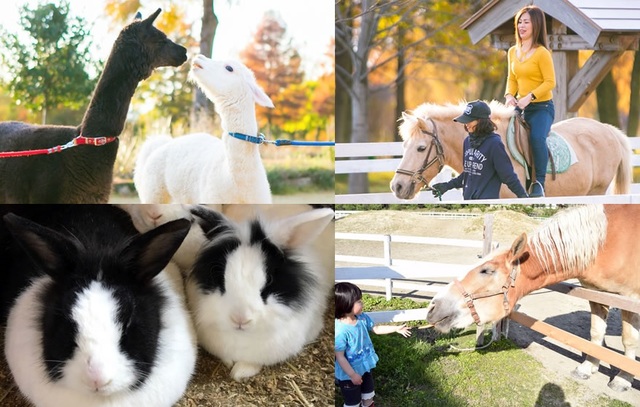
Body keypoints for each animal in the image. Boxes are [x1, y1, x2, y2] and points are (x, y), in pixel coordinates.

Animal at [424, 206, 640, 394]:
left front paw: (623, 379)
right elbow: (596, 332)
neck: (608, 244)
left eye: (487, 271)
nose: (433, 307)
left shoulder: (630, 299)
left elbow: (629, 340)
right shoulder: (595, 293)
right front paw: (587, 367)